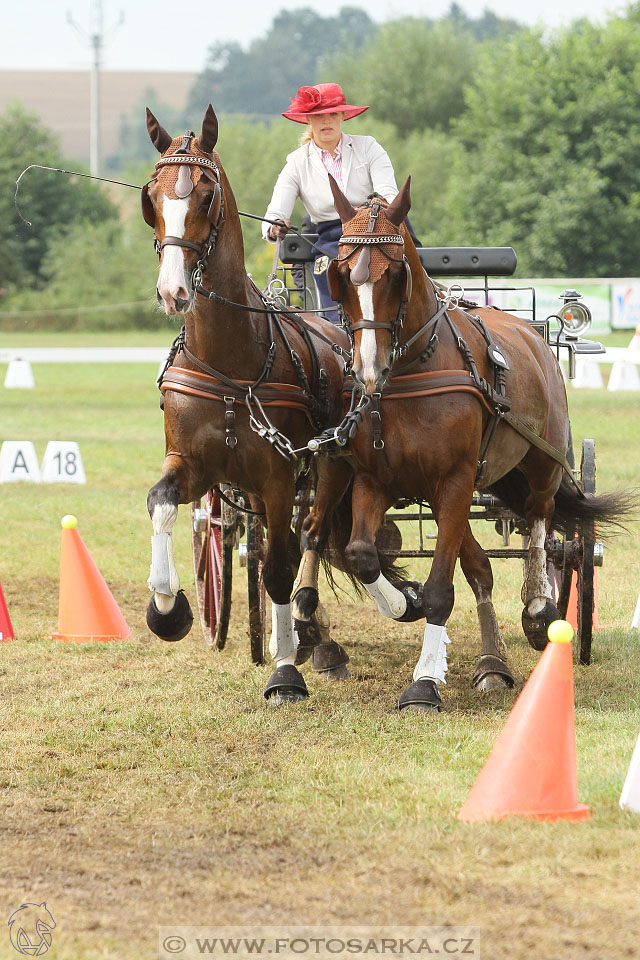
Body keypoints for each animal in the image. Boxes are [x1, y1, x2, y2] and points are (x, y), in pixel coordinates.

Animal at [141, 107, 350, 704]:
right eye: (151, 195)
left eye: (207, 194)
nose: (173, 293)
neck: (231, 359)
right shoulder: (192, 465)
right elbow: (162, 504)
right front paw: (167, 609)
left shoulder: (279, 476)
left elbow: (278, 567)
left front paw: (284, 671)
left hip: (327, 468)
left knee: (313, 535)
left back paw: (315, 629)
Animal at [292, 176, 632, 708]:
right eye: (343, 275)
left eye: (396, 274)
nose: (367, 369)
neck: (408, 375)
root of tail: (529, 330)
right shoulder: (375, 479)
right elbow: (363, 553)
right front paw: (402, 604)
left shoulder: (453, 481)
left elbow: (440, 589)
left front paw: (424, 682)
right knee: (474, 565)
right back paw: (492, 662)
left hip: (540, 461)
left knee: (540, 521)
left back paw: (538, 609)